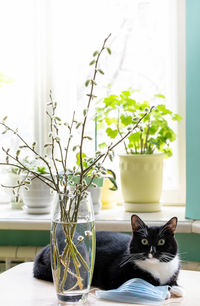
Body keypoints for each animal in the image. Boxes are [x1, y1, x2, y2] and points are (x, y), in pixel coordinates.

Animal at [33, 215, 184, 296]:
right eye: (144, 241)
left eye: (161, 241)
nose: (152, 252)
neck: (157, 268)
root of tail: (46, 248)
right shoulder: (116, 277)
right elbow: (147, 282)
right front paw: (164, 290)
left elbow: (172, 281)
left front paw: (177, 287)